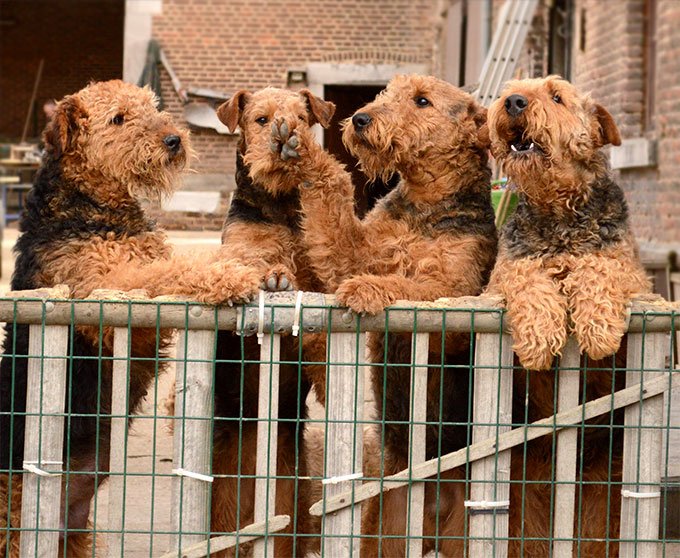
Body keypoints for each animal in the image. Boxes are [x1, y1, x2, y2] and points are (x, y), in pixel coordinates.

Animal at [0, 80, 260, 558]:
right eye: (118, 118)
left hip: (76, 532)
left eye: (150, 106)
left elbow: (177, 262)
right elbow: (168, 273)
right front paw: (231, 277)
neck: (95, 205)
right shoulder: (106, 297)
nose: (174, 140)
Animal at [194, 85, 338, 556]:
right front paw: (271, 274)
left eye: (302, 117)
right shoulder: (242, 249)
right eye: (260, 119)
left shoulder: (317, 279)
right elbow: (253, 261)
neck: (279, 205)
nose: (283, 138)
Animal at [268, 74, 496, 556]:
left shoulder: (454, 295)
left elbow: (409, 285)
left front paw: (366, 289)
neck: (426, 202)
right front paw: (303, 147)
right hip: (383, 530)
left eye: (422, 100)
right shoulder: (353, 252)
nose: (360, 118)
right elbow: (335, 214)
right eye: (388, 91)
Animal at [486, 76, 652, 556]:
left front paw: (598, 331)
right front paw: (541, 337)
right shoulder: (504, 273)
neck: (558, 211)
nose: (513, 102)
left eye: (557, 96)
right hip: (526, 501)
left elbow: (599, 267)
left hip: (604, 497)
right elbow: (527, 276)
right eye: (514, 88)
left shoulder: (635, 277)